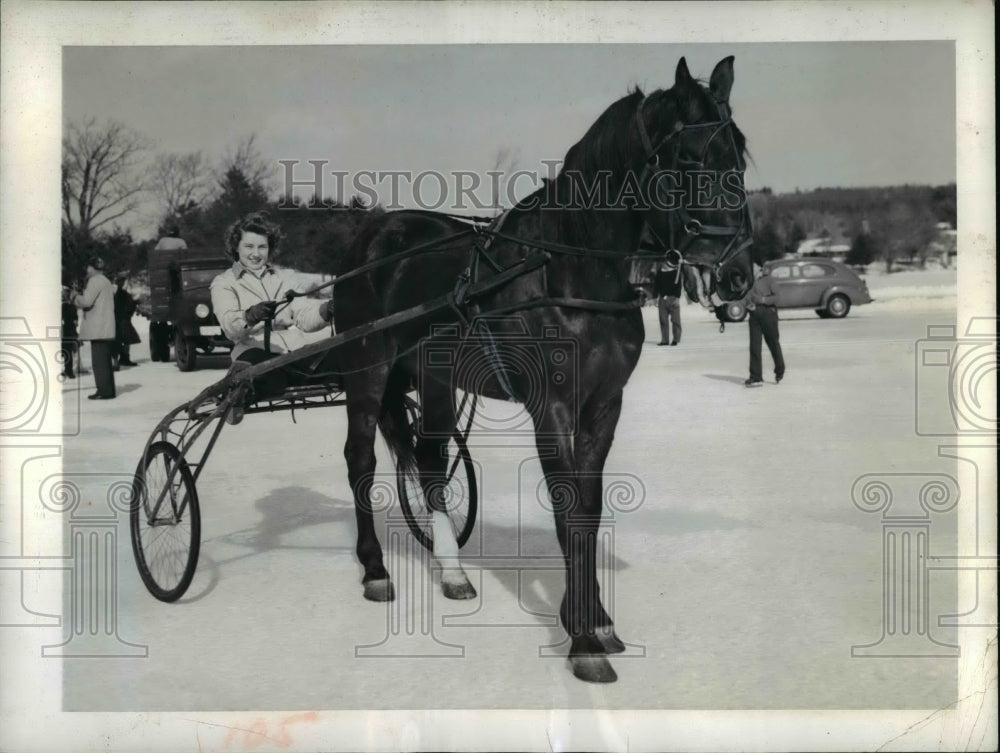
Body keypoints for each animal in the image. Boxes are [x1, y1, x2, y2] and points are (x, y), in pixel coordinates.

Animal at [334, 58, 752, 680]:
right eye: (689, 159)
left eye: (739, 155)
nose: (738, 274)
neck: (572, 272)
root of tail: (371, 237)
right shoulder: (550, 408)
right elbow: (567, 512)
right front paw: (580, 638)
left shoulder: (603, 405)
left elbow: (590, 509)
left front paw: (598, 620)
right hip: (367, 370)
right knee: (360, 460)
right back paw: (376, 570)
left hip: (433, 379)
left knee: (430, 461)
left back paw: (454, 574)